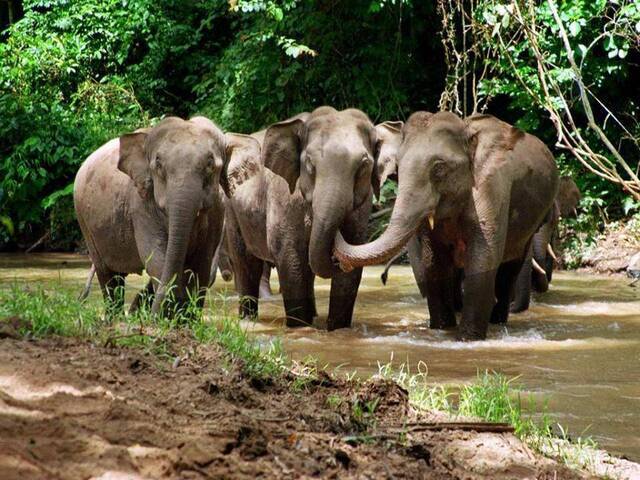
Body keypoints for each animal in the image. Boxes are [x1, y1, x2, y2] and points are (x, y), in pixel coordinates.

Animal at [74, 117, 229, 318]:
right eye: (159, 165)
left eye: (210, 164)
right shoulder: (141, 206)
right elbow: (155, 257)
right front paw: (167, 317)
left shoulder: (218, 209)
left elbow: (200, 267)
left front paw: (184, 320)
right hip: (85, 222)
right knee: (108, 276)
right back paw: (114, 318)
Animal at [225, 106, 396, 328]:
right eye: (310, 164)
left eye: (364, 165)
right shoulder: (285, 198)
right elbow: (289, 256)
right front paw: (300, 326)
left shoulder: (362, 207)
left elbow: (353, 258)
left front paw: (337, 329)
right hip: (232, 209)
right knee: (245, 262)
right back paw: (247, 320)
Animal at [332, 110, 556, 340]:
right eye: (398, 168)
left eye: (439, 168)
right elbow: (434, 261)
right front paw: (442, 329)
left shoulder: (493, 188)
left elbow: (483, 258)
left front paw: (467, 339)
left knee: (510, 269)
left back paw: (498, 322)